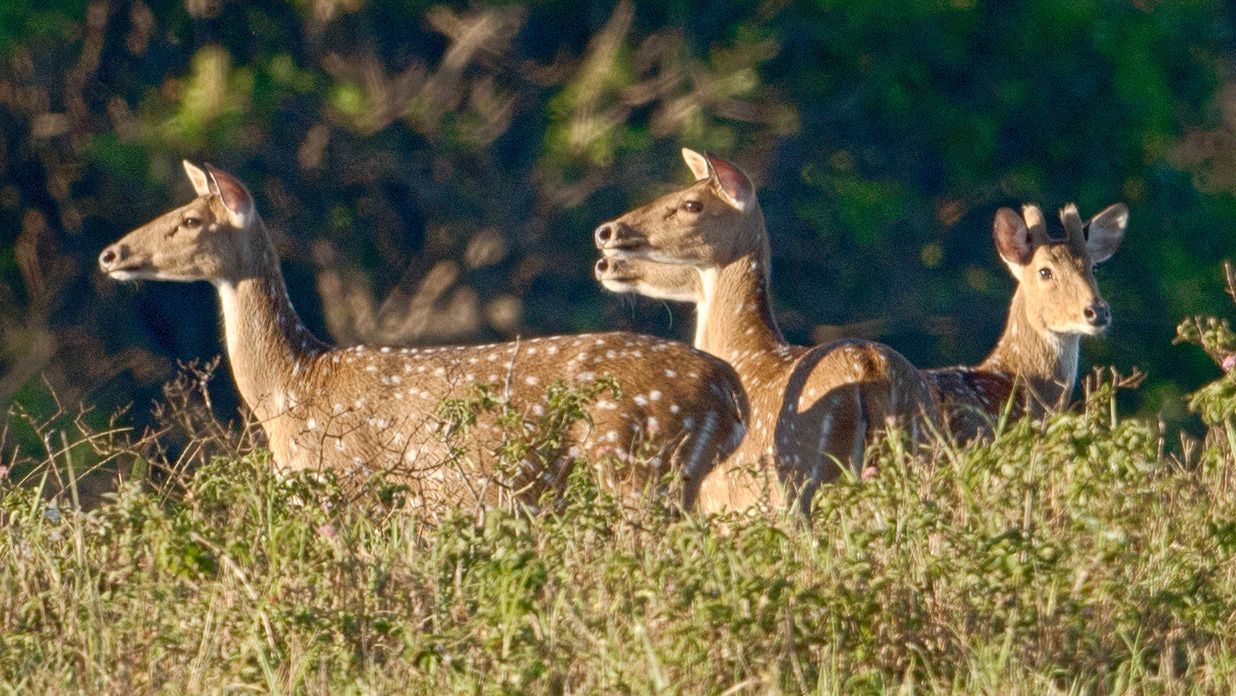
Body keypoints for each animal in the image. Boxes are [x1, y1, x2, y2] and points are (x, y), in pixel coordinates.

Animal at [96, 161, 746, 511]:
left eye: (189, 220)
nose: (110, 254)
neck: (291, 389)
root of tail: (727, 392)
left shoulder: (347, 483)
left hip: (633, 469)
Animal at [590, 149, 934, 514]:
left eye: (691, 204)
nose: (605, 236)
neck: (746, 353)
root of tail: (871, 365)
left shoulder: (723, 503)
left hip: (800, 480)